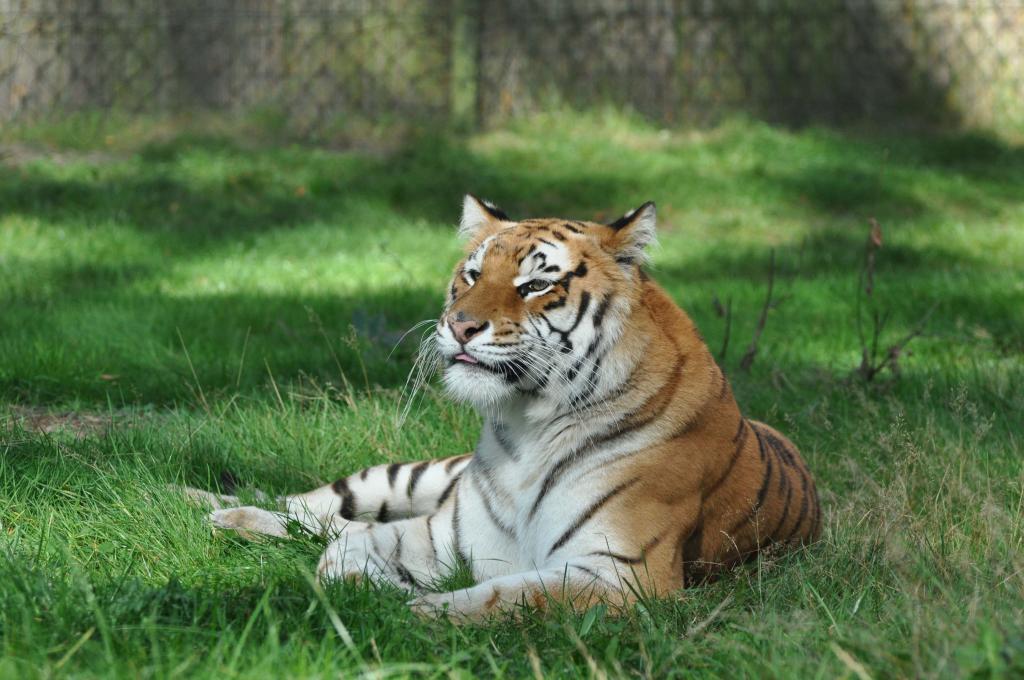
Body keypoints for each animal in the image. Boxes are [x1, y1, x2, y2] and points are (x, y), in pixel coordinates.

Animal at [190, 195, 821, 620]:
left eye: (535, 285)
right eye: (471, 274)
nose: (460, 325)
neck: (528, 427)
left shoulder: (622, 574)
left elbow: (501, 597)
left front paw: (407, 609)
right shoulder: (445, 535)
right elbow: (350, 542)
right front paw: (357, 581)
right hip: (411, 475)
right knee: (312, 506)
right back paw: (205, 505)